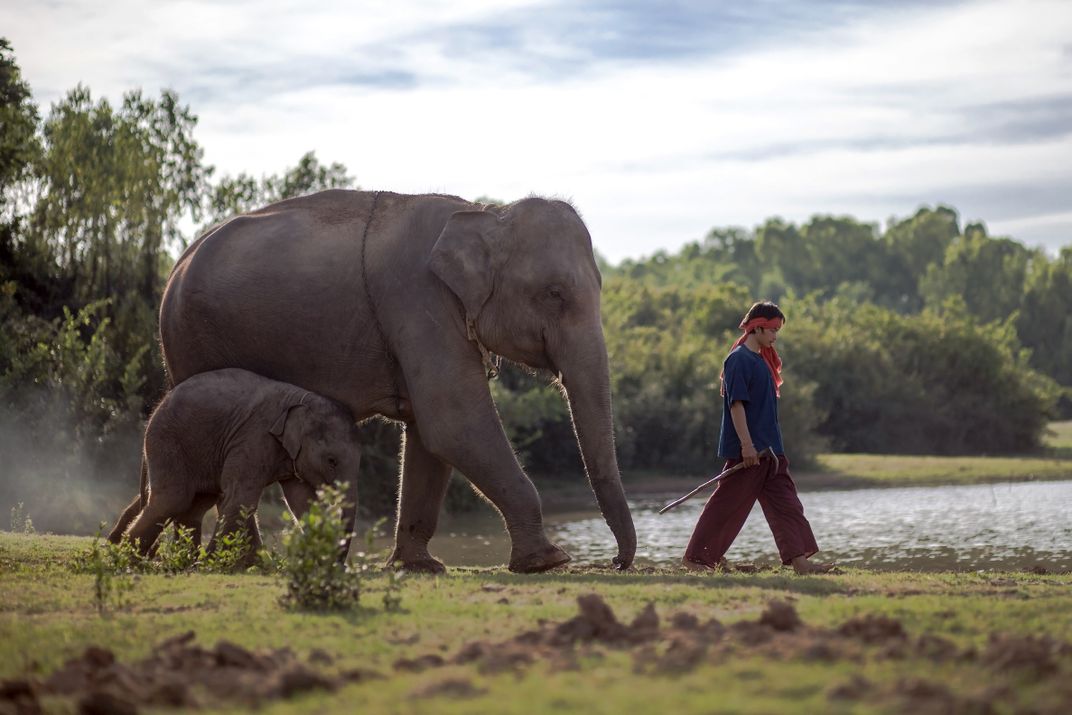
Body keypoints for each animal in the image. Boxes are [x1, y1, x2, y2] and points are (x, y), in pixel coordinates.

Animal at [111, 368, 361, 561]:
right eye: (332, 461)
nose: (338, 563)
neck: (302, 399)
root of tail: (156, 408)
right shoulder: (254, 436)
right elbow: (241, 497)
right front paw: (212, 563)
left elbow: (301, 501)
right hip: (167, 441)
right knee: (173, 499)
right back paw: (127, 559)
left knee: (195, 505)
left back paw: (183, 560)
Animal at [157, 189, 636, 573]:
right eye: (554, 294)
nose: (616, 562)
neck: (485, 215)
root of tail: (178, 264)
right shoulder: (420, 302)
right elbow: (454, 423)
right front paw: (547, 562)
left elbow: (429, 437)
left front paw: (420, 566)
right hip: (194, 341)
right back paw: (240, 564)